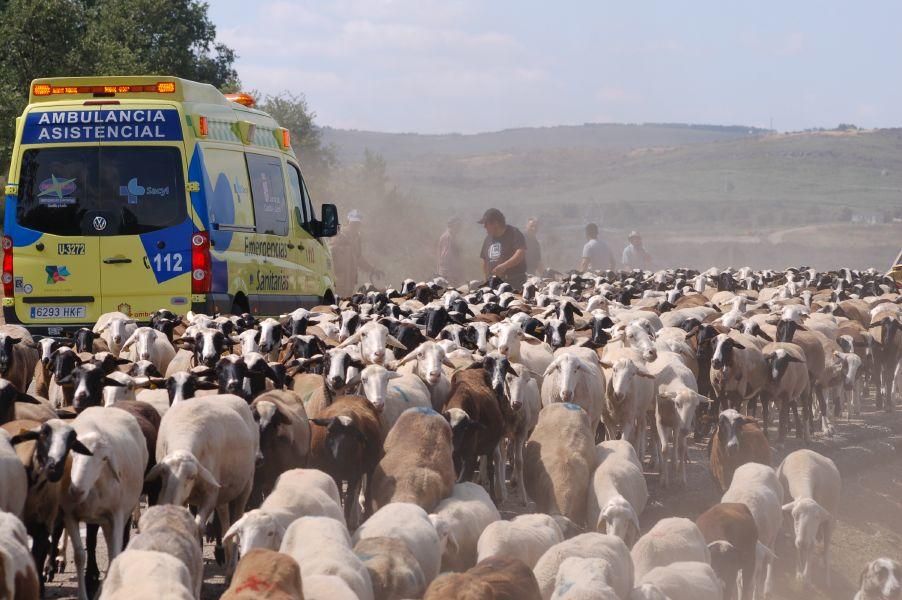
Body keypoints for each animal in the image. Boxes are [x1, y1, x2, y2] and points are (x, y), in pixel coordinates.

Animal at [310, 396, 384, 528]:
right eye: (329, 431)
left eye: (353, 437)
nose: (337, 459)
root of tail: (353, 396)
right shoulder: (334, 474)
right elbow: (340, 495)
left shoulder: (353, 476)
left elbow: (349, 499)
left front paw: (347, 521)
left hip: (371, 467)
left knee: (367, 488)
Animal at [780, 450, 844, 584]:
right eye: (794, 515)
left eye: (817, 517)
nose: (803, 543)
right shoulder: (789, 520)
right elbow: (796, 542)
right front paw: (799, 572)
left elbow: (812, 546)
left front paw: (807, 576)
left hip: (831, 516)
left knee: (826, 546)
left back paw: (827, 575)